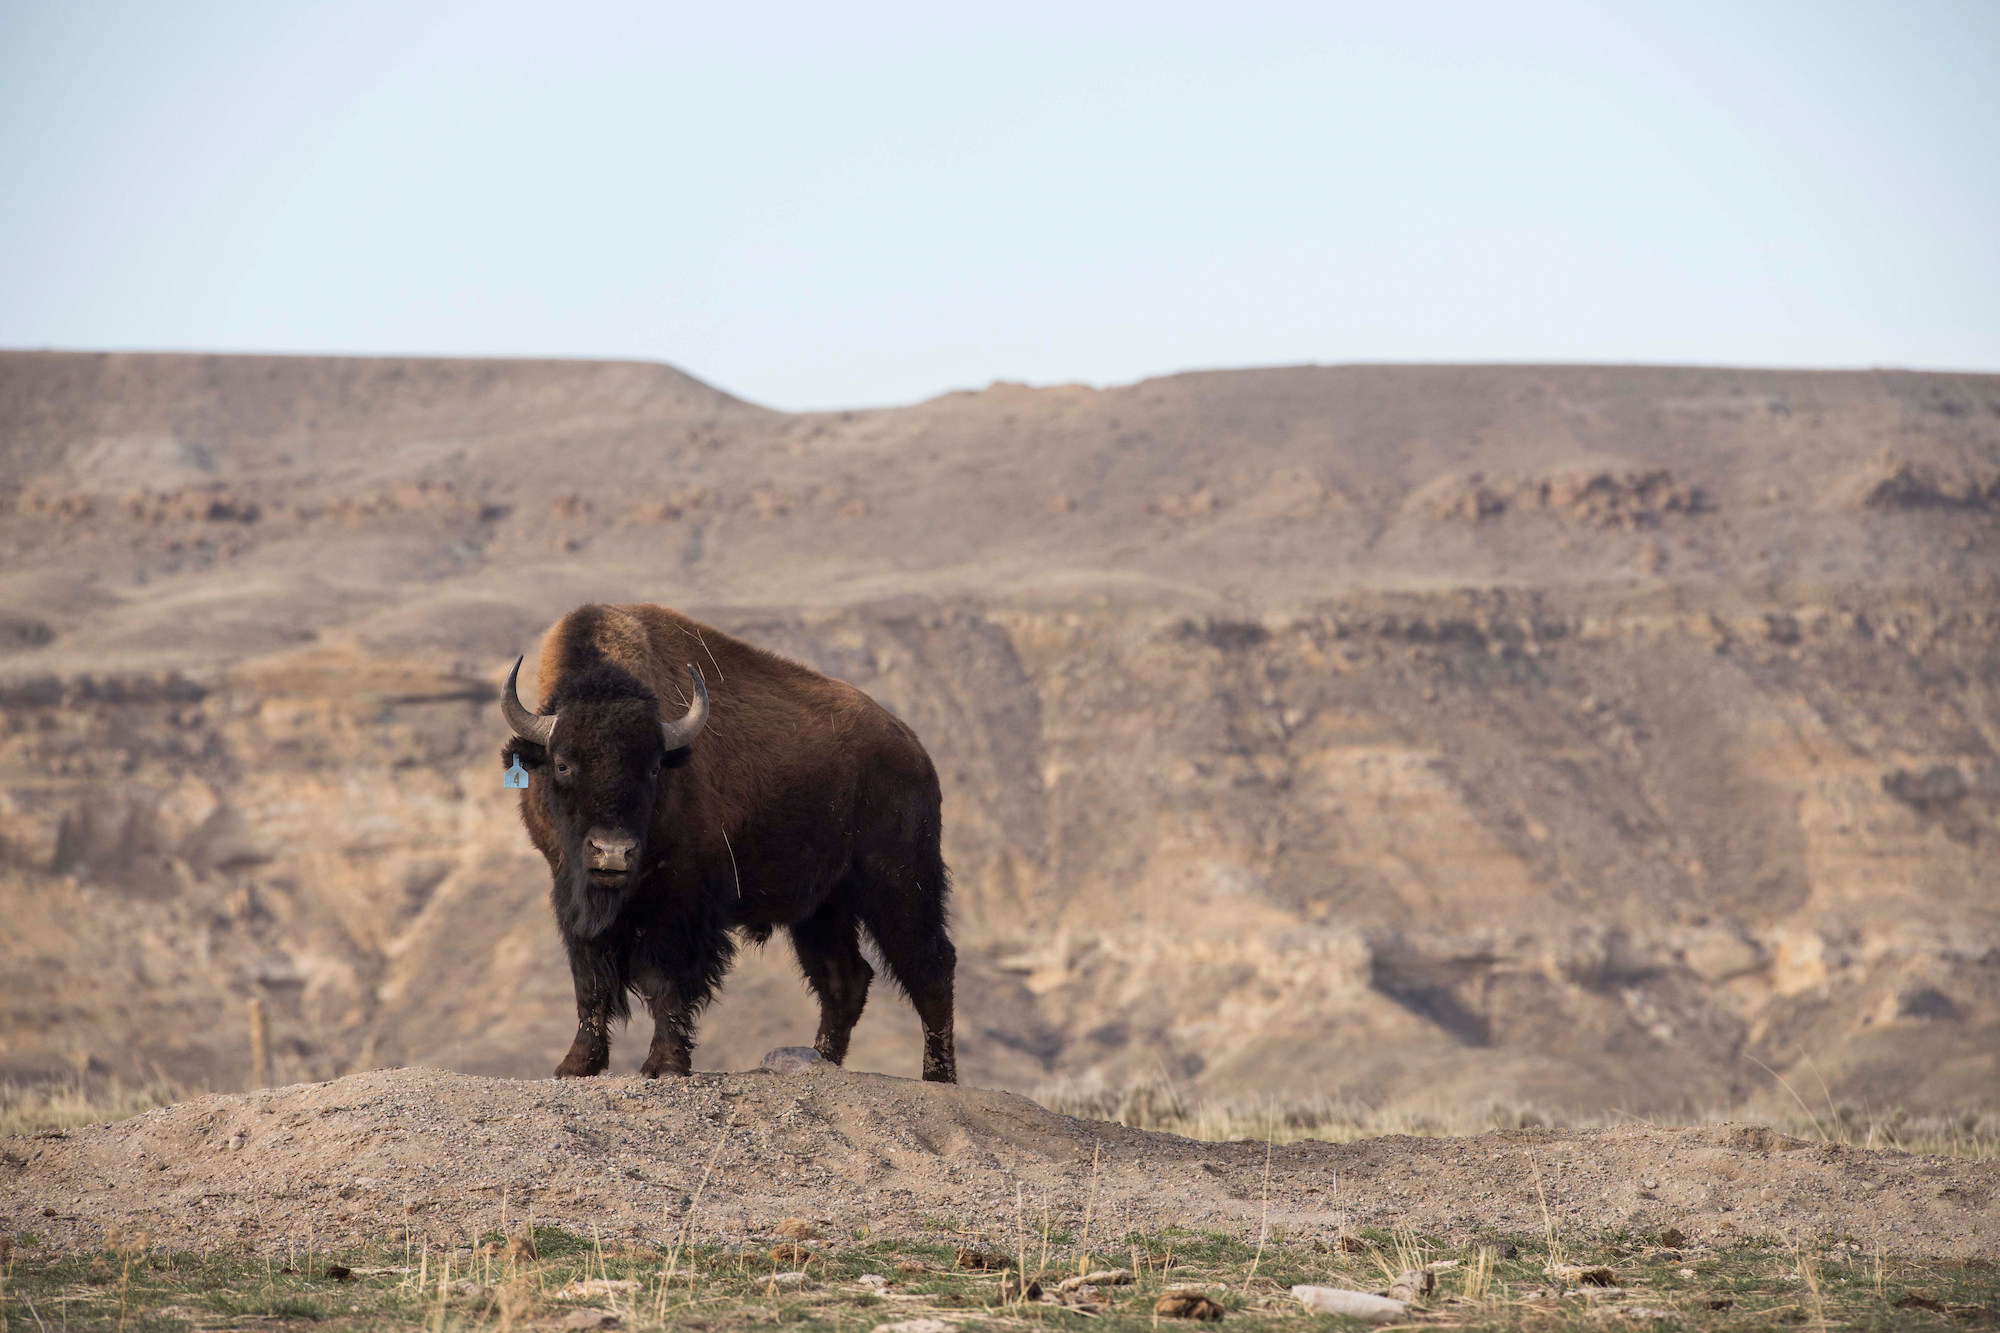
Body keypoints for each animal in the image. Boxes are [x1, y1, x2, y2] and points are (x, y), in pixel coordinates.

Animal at [500, 602, 957, 1083]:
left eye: (653, 767)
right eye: (563, 764)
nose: (613, 852)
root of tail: (915, 751)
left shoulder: (679, 900)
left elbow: (665, 981)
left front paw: (665, 1064)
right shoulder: (570, 889)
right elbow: (589, 983)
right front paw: (576, 1065)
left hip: (899, 883)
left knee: (930, 969)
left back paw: (938, 1077)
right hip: (822, 907)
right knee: (845, 979)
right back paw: (821, 1060)